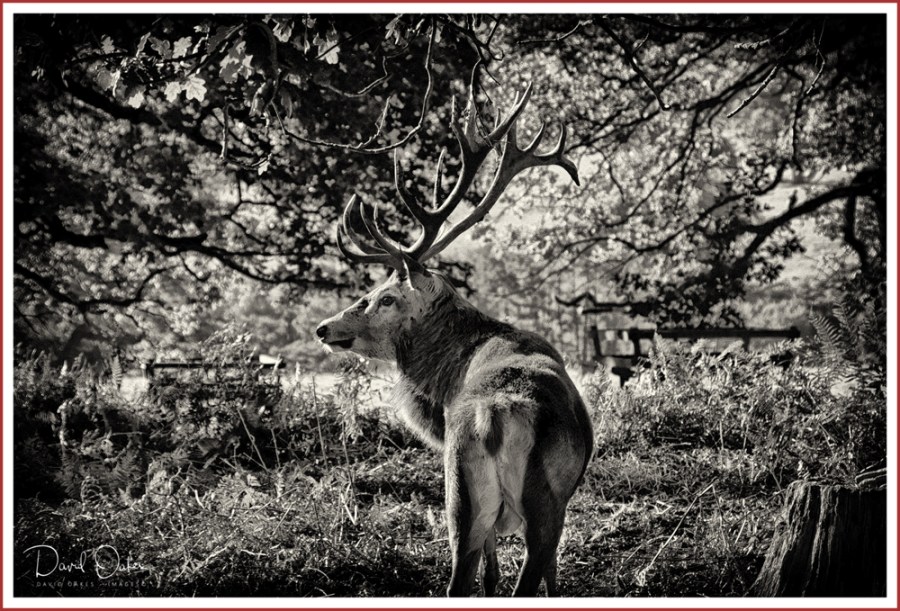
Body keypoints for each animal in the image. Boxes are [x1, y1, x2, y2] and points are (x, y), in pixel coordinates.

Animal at [315, 83, 593, 597]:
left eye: (384, 297)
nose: (323, 327)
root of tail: (491, 417)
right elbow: (542, 572)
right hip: (537, 501)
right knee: (523, 570)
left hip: (459, 495)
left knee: (460, 576)